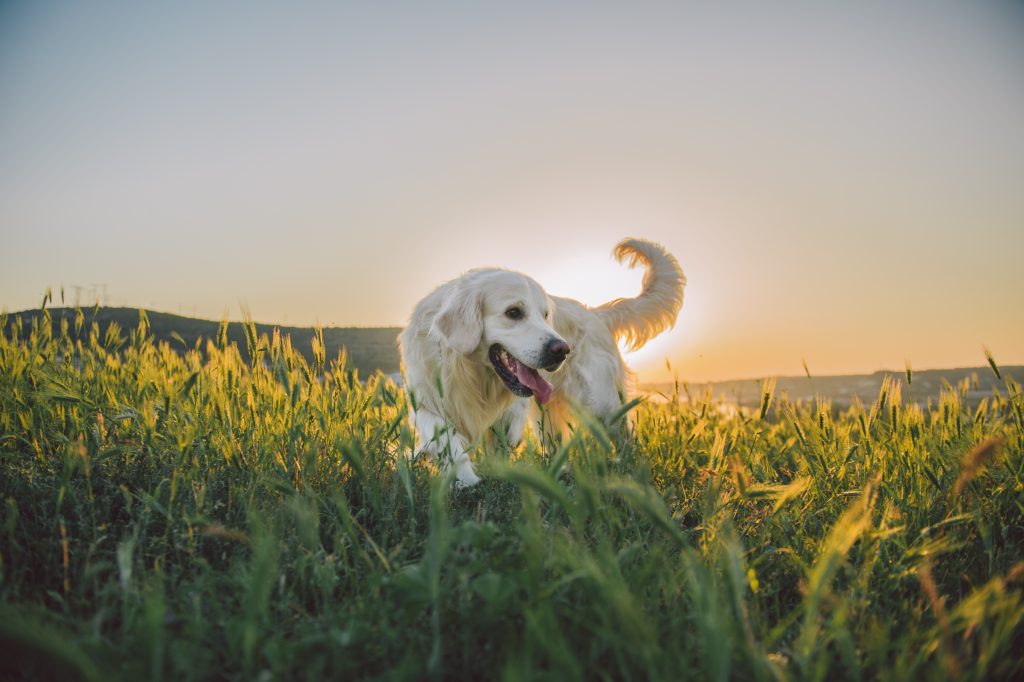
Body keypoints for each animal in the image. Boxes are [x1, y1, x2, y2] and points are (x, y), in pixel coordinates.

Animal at [395, 236, 684, 485]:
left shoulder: (512, 407)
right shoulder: (426, 399)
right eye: (513, 312)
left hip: (604, 404)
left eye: (545, 315)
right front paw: (463, 479)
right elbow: (447, 440)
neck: (471, 371)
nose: (562, 349)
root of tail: (595, 313)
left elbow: (502, 434)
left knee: (624, 437)